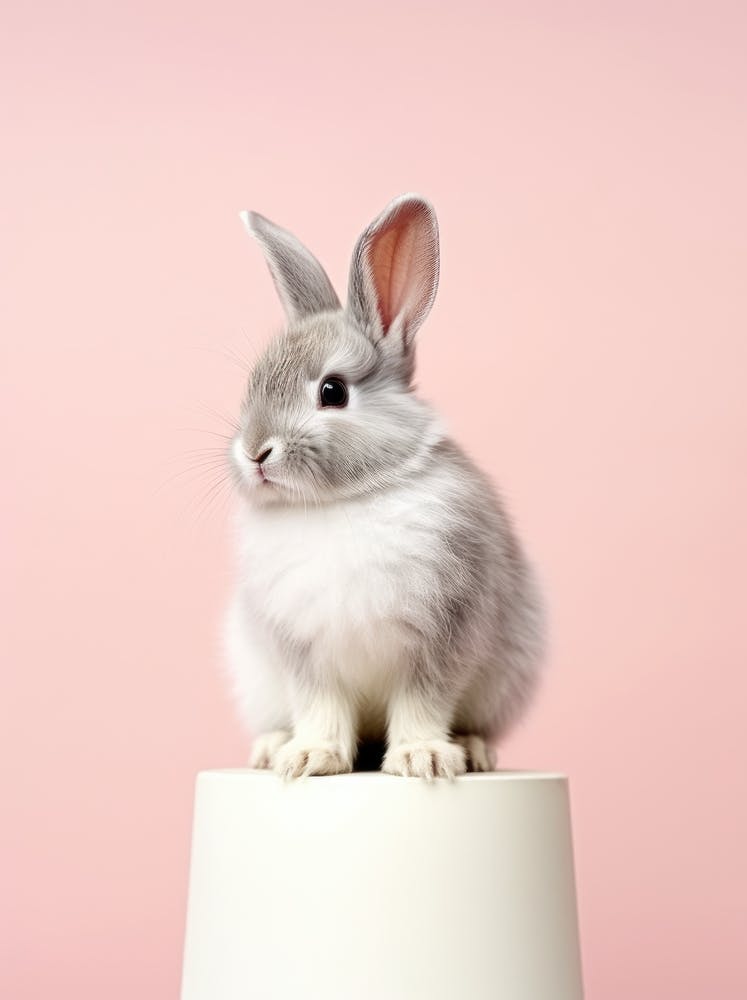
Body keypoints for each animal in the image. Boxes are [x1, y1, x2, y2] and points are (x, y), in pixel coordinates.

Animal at [223, 193, 546, 779]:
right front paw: (309, 757)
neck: (344, 500)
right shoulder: (303, 654)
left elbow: (424, 701)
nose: (255, 452)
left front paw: (423, 758)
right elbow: (321, 708)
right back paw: (270, 747)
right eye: (252, 385)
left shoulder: (444, 634)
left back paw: (476, 751)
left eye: (333, 391)